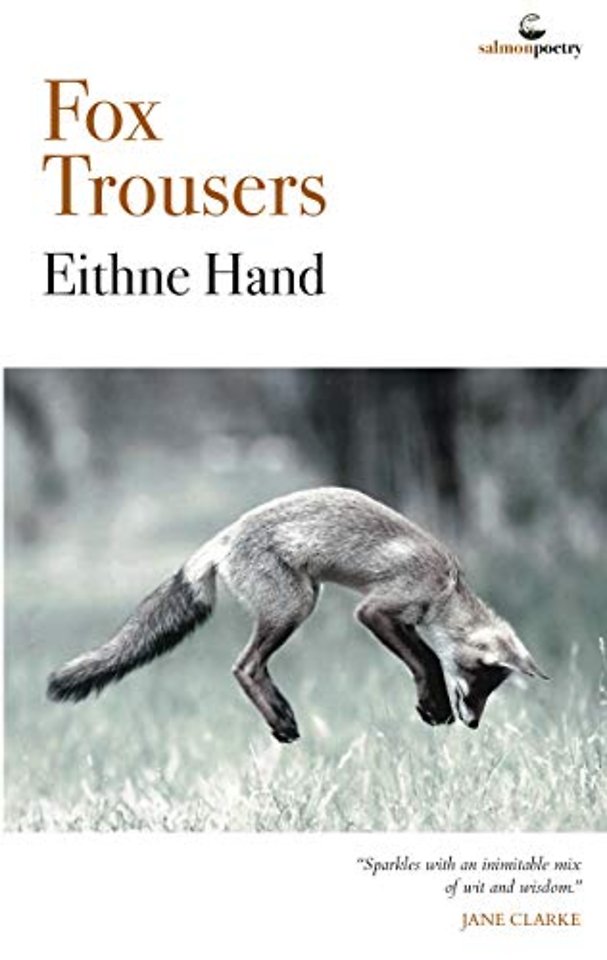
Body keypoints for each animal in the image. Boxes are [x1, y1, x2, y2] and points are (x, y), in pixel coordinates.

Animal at [47, 487, 548, 741]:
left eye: (491, 689)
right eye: (479, 679)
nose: (475, 724)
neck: (445, 588)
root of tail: (226, 536)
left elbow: (425, 658)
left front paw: (434, 705)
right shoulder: (378, 610)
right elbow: (426, 659)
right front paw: (434, 705)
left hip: (301, 598)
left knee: (251, 666)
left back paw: (282, 715)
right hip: (296, 604)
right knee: (244, 666)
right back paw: (280, 720)